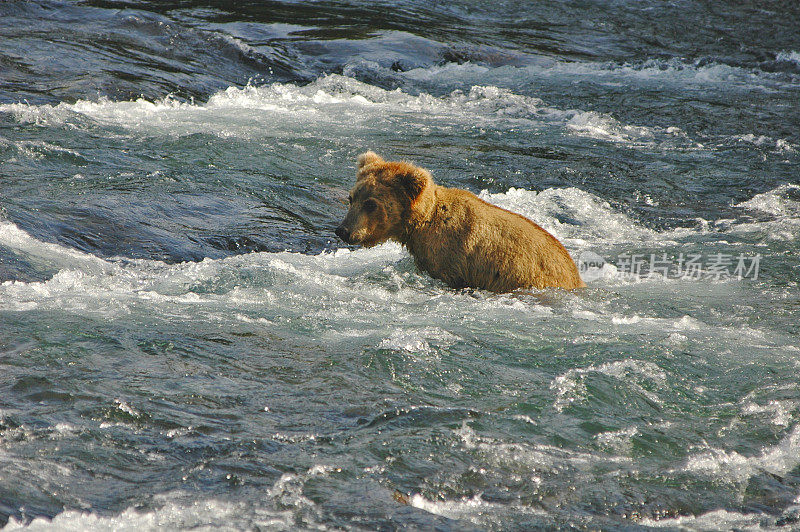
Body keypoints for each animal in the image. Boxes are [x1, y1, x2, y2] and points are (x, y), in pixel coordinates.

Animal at [334, 150, 584, 294]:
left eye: (371, 204)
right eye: (352, 198)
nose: (343, 230)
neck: (421, 226)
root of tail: (576, 277)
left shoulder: (452, 259)